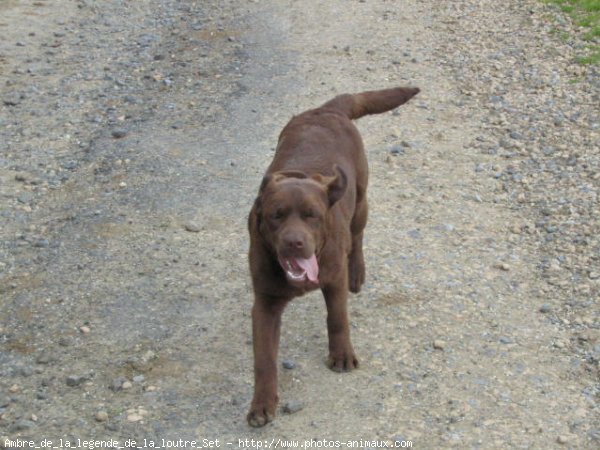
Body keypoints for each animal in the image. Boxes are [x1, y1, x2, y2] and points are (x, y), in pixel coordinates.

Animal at [246, 86, 420, 428]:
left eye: (311, 215)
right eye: (276, 215)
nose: (294, 242)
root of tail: (328, 109)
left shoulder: (333, 276)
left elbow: (337, 317)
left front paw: (341, 355)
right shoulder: (265, 303)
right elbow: (264, 358)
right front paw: (262, 404)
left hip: (361, 202)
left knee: (358, 236)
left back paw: (358, 273)